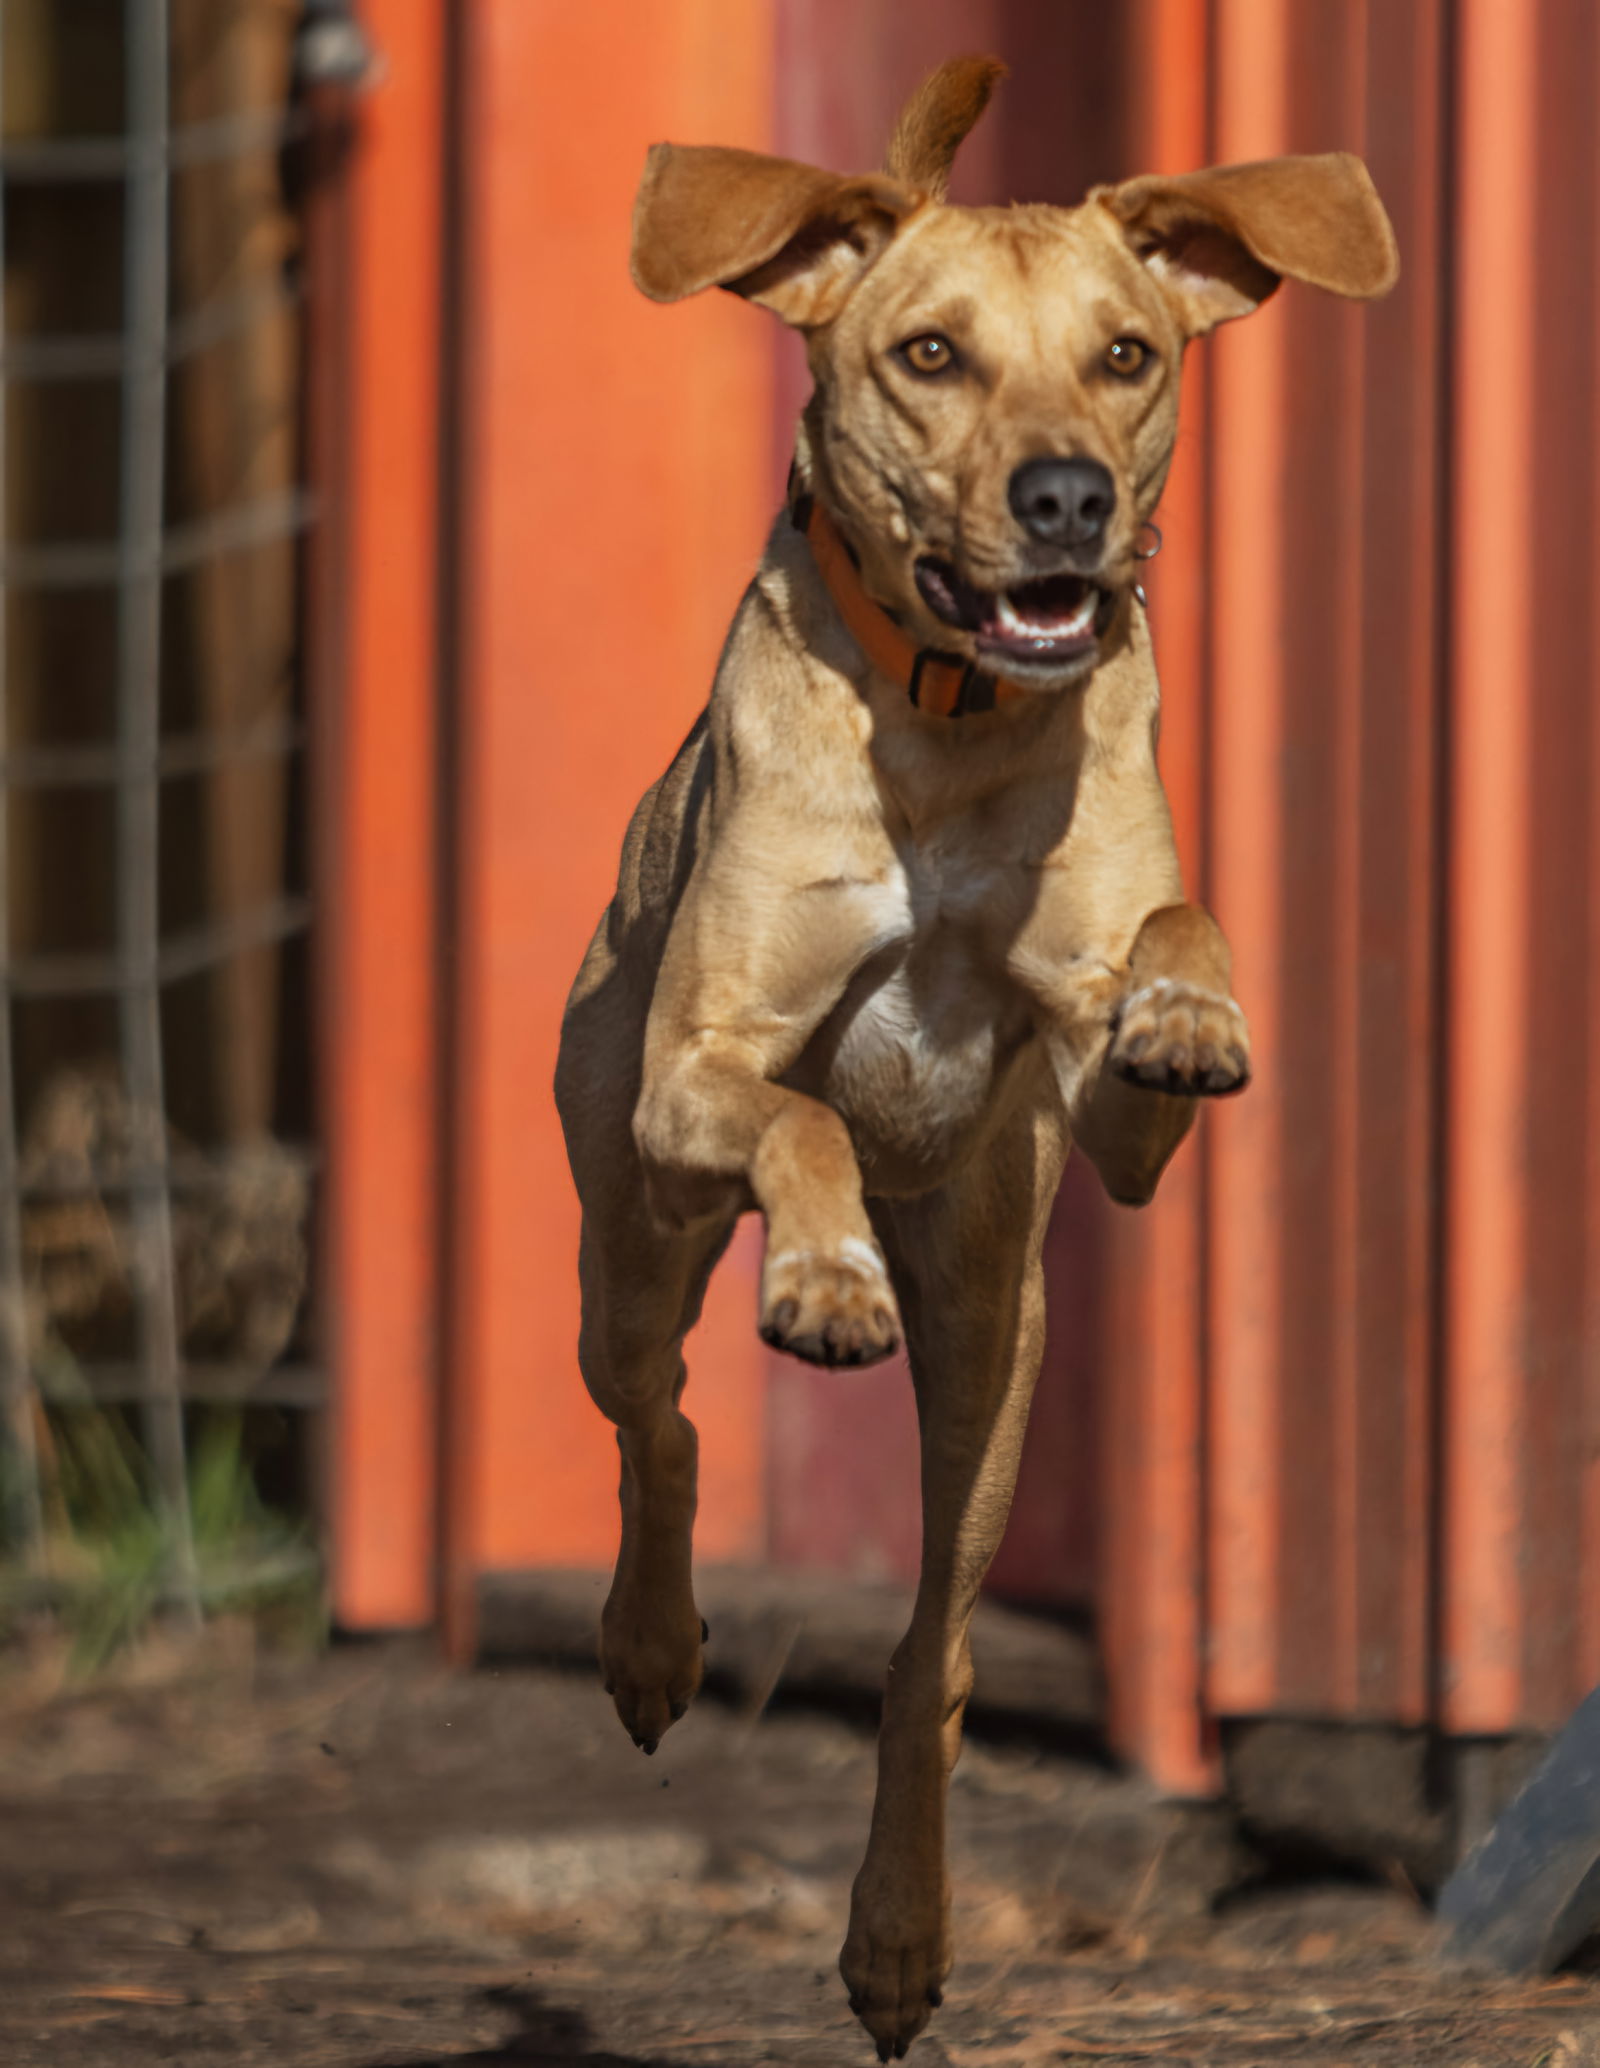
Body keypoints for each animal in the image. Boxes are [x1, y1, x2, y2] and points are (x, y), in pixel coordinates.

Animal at [558, 56, 1397, 2059]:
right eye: (930, 355)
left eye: (1128, 354)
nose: (1068, 496)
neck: (946, 723)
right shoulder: (695, 1073)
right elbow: (797, 1112)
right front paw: (825, 1268)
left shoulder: (1113, 1127)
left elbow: (1174, 934)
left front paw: (1191, 1007)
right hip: (623, 1229)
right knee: (661, 1413)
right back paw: (653, 1639)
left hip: (997, 1379)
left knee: (928, 1652)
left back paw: (897, 1934)